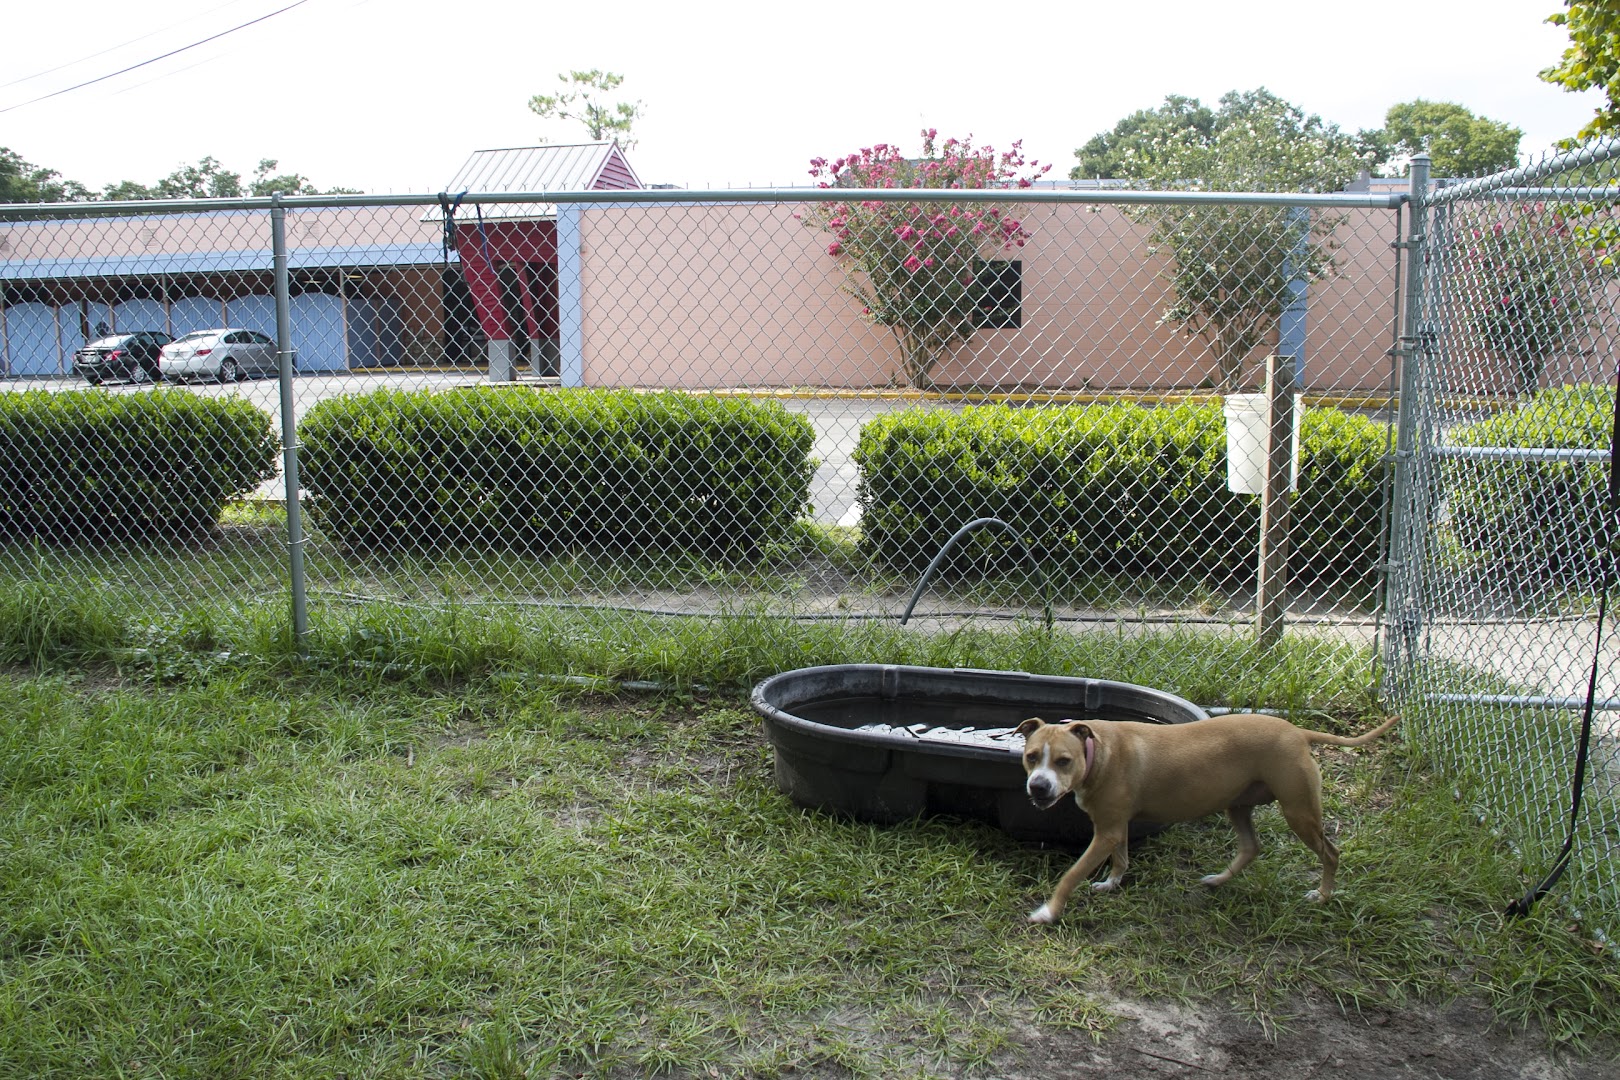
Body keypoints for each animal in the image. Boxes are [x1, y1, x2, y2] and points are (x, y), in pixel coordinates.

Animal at [1017, 712, 1399, 926]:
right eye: (1031, 756)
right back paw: (1217, 880)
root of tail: (1297, 732)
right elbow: (1121, 858)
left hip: (1299, 812)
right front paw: (1112, 884)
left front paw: (1049, 912)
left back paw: (1322, 896)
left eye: (1063, 761)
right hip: (1239, 806)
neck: (1097, 753)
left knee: (1331, 853)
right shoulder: (1114, 827)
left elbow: (1071, 875)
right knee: (1250, 847)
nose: (1038, 787)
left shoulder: (1106, 832)